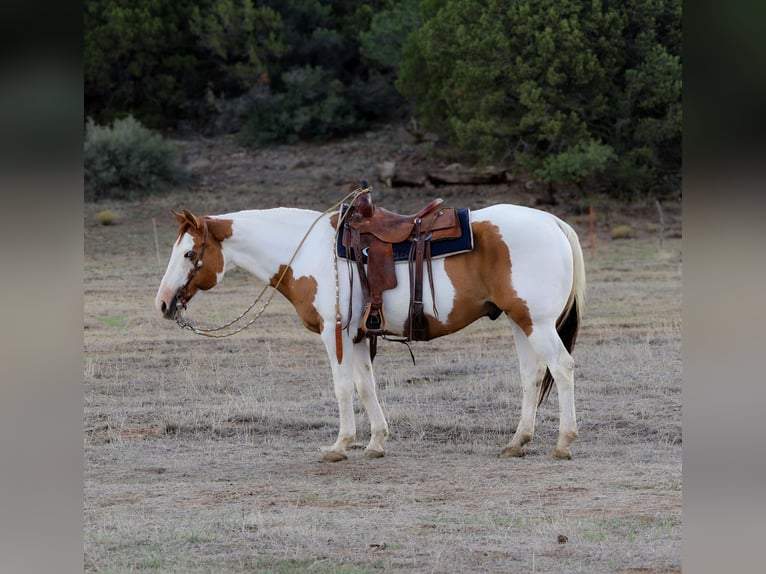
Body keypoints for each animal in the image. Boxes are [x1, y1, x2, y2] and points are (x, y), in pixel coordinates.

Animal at [154, 198, 586, 462]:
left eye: (190, 254)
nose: (163, 303)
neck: (309, 250)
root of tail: (552, 221)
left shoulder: (335, 333)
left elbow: (343, 387)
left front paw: (340, 444)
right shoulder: (359, 335)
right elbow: (366, 385)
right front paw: (376, 442)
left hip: (537, 323)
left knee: (562, 368)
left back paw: (564, 443)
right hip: (520, 321)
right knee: (532, 376)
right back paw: (517, 442)